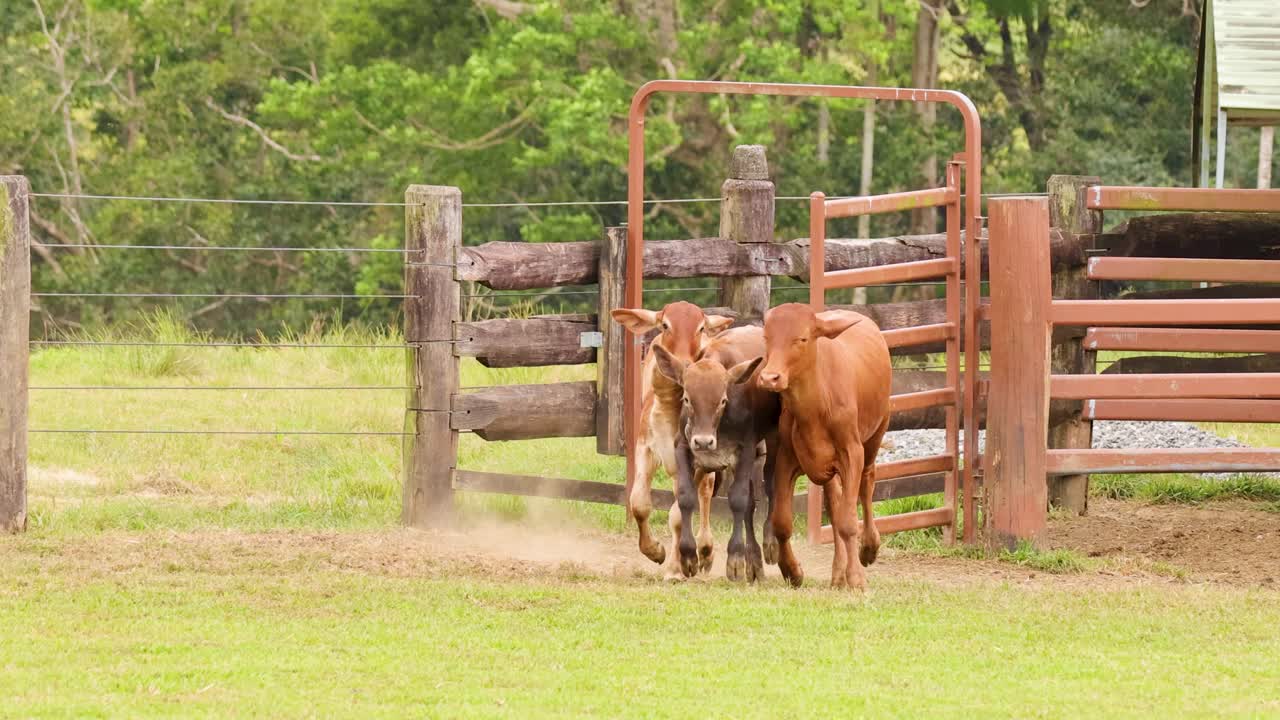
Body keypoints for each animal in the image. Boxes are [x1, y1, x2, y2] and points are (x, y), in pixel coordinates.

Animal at [610, 302, 734, 578]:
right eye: (666, 325)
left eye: (700, 328)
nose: (684, 364)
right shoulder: (645, 449)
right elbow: (639, 503)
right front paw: (654, 550)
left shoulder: (697, 460)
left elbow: (678, 513)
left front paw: (679, 566)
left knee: (705, 494)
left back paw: (705, 550)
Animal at [650, 325, 780, 582]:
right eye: (687, 398)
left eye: (722, 400)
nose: (703, 441)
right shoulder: (683, 448)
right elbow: (685, 497)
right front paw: (688, 557)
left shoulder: (746, 451)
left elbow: (738, 500)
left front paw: (735, 559)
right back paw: (754, 562)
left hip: (770, 445)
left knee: (770, 488)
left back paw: (769, 544)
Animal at [757, 303, 892, 591]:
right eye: (767, 337)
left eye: (801, 339)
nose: (770, 378)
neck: (816, 406)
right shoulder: (785, 458)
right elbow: (782, 522)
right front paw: (792, 570)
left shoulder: (852, 454)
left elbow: (848, 521)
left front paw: (856, 577)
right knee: (834, 502)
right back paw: (838, 572)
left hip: (875, 435)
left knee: (867, 483)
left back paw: (869, 547)